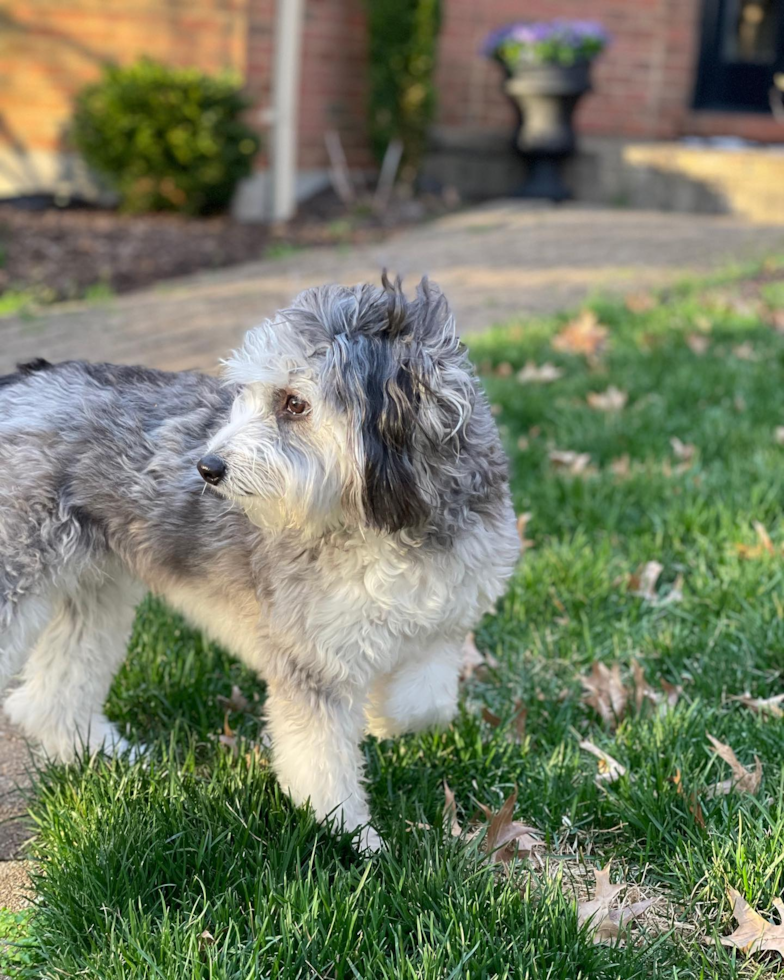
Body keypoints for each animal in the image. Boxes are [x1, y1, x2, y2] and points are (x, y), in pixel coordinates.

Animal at [0, 278, 520, 848]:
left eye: (294, 403)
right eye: (245, 395)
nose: (207, 468)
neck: (388, 524)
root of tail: (22, 380)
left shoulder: (444, 623)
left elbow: (427, 706)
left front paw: (383, 720)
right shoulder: (310, 659)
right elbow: (322, 765)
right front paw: (352, 838)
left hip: (96, 591)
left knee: (52, 695)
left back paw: (101, 754)